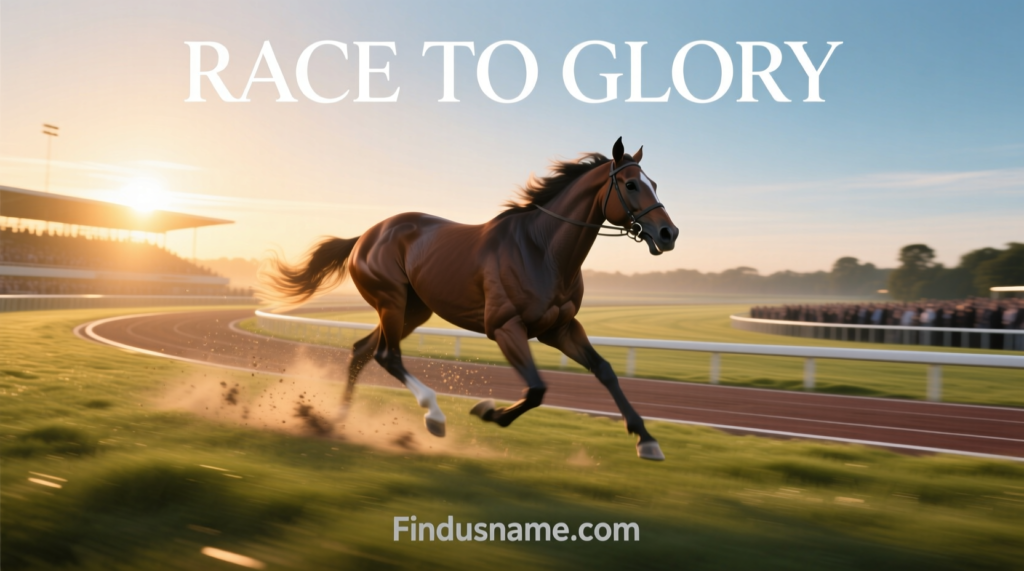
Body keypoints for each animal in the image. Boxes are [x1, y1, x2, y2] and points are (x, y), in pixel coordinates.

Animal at [263, 138, 679, 460]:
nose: (668, 233)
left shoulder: (559, 328)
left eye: (655, 183)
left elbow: (605, 370)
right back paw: (433, 416)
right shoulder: (505, 327)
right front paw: (488, 411)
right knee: (386, 355)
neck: (542, 250)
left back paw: (336, 421)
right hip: (391, 300)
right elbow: (536, 390)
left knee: (362, 351)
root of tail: (365, 235)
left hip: (413, 309)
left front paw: (647, 439)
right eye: (630, 184)